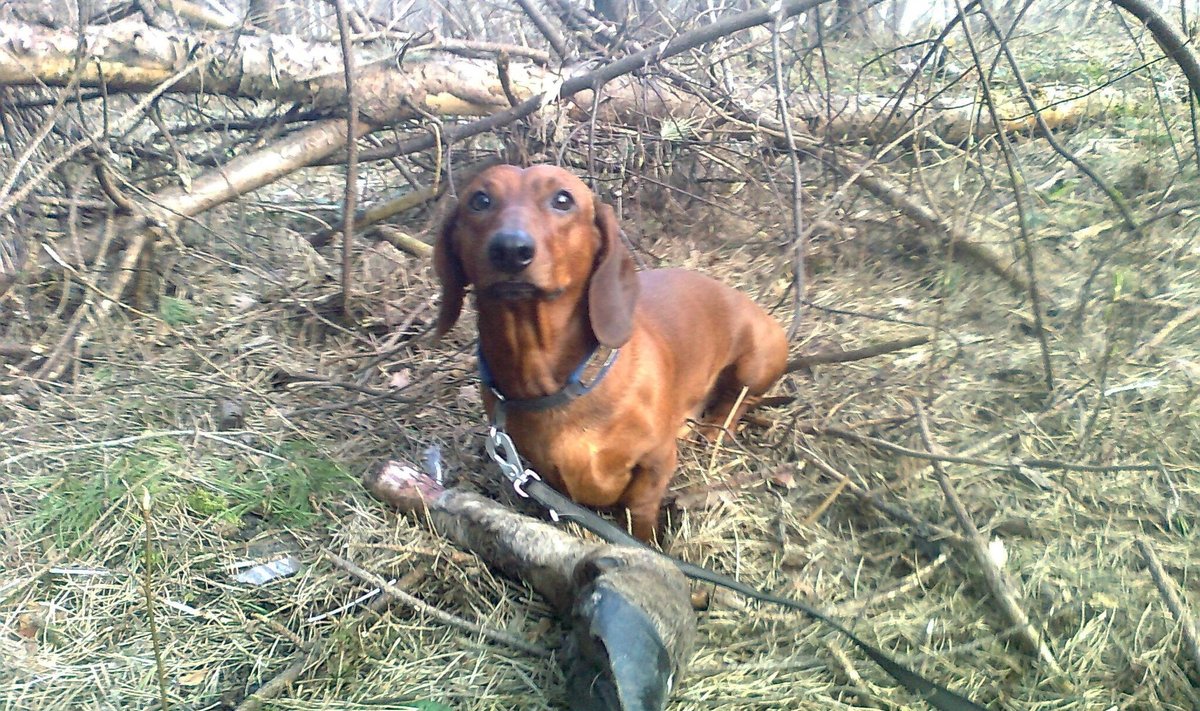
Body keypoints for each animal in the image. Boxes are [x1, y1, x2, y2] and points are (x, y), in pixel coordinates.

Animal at [432, 166, 787, 540]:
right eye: (480, 200)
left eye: (563, 199)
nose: (511, 249)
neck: (558, 387)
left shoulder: (655, 462)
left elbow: (640, 509)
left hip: (755, 361)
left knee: (740, 400)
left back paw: (714, 429)